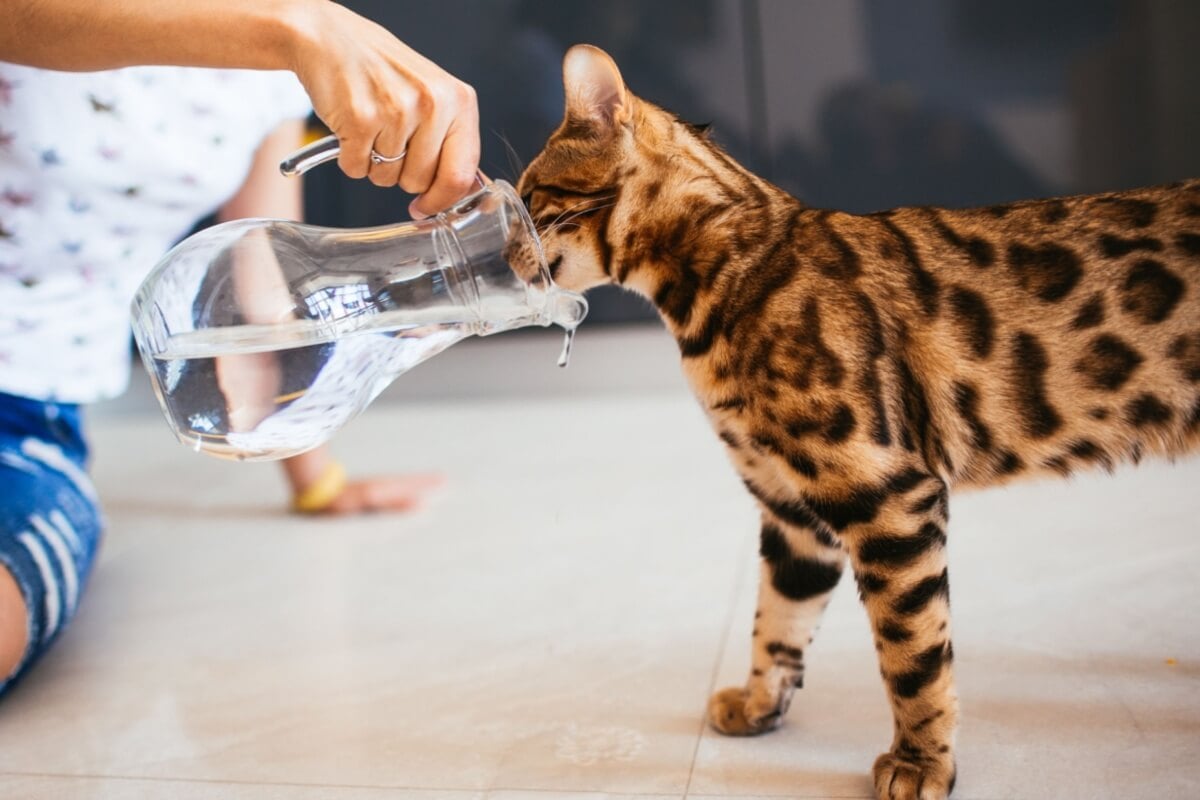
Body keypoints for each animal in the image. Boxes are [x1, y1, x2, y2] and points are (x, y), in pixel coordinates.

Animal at [516, 45, 1200, 800]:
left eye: (528, 197)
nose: (503, 249)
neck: (727, 279)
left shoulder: (888, 498)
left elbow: (913, 656)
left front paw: (921, 763)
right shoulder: (792, 510)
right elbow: (776, 621)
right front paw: (759, 705)